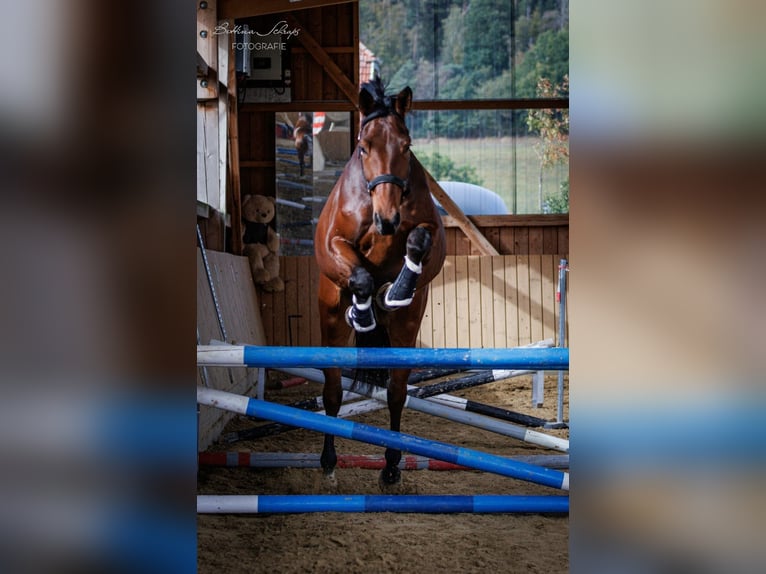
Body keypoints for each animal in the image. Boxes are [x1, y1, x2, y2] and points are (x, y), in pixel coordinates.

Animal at [314, 77, 448, 490]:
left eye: (406, 145)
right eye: (364, 147)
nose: (386, 219)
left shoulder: (432, 236)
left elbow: (419, 241)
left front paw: (400, 288)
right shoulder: (334, 245)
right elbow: (358, 273)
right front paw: (363, 312)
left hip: (405, 330)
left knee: (395, 392)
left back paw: (390, 466)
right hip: (330, 322)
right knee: (332, 392)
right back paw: (328, 463)